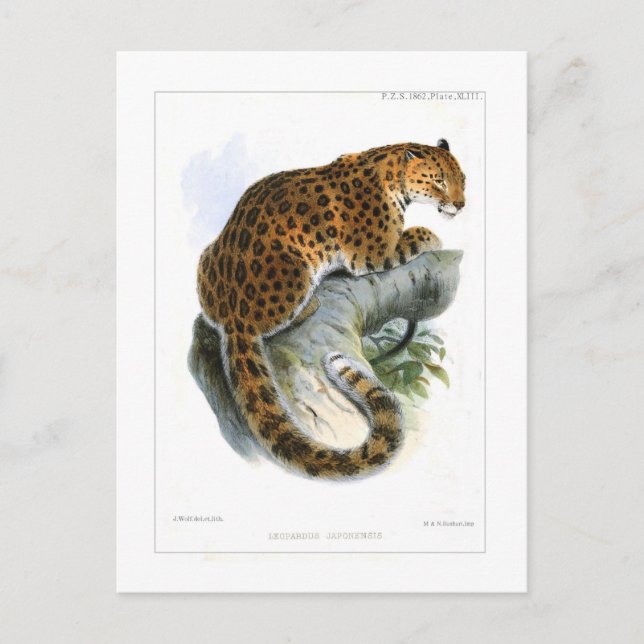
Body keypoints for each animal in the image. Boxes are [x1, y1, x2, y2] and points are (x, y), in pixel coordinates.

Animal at [196, 139, 466, 479]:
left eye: (463, 180)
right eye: (439, 182)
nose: (461, 204)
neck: (389, 172)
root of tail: (232, 314)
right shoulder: (375, 252)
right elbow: (414, 238)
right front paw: (430, 234)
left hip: (205, 260)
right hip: (298, 271)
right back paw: (311, 304)